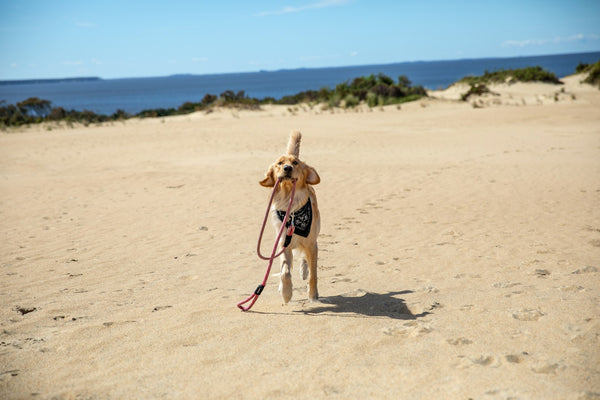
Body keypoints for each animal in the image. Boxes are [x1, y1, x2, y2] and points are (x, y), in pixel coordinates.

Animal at [260, 131, 322, 304]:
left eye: (295, 163)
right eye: (280, 163)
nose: (287, 168)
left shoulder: (311, 243)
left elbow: (313, 274)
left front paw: (313, 295)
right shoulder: (283, 244)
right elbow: (285, 272)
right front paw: (286, 293)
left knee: (305, 259)